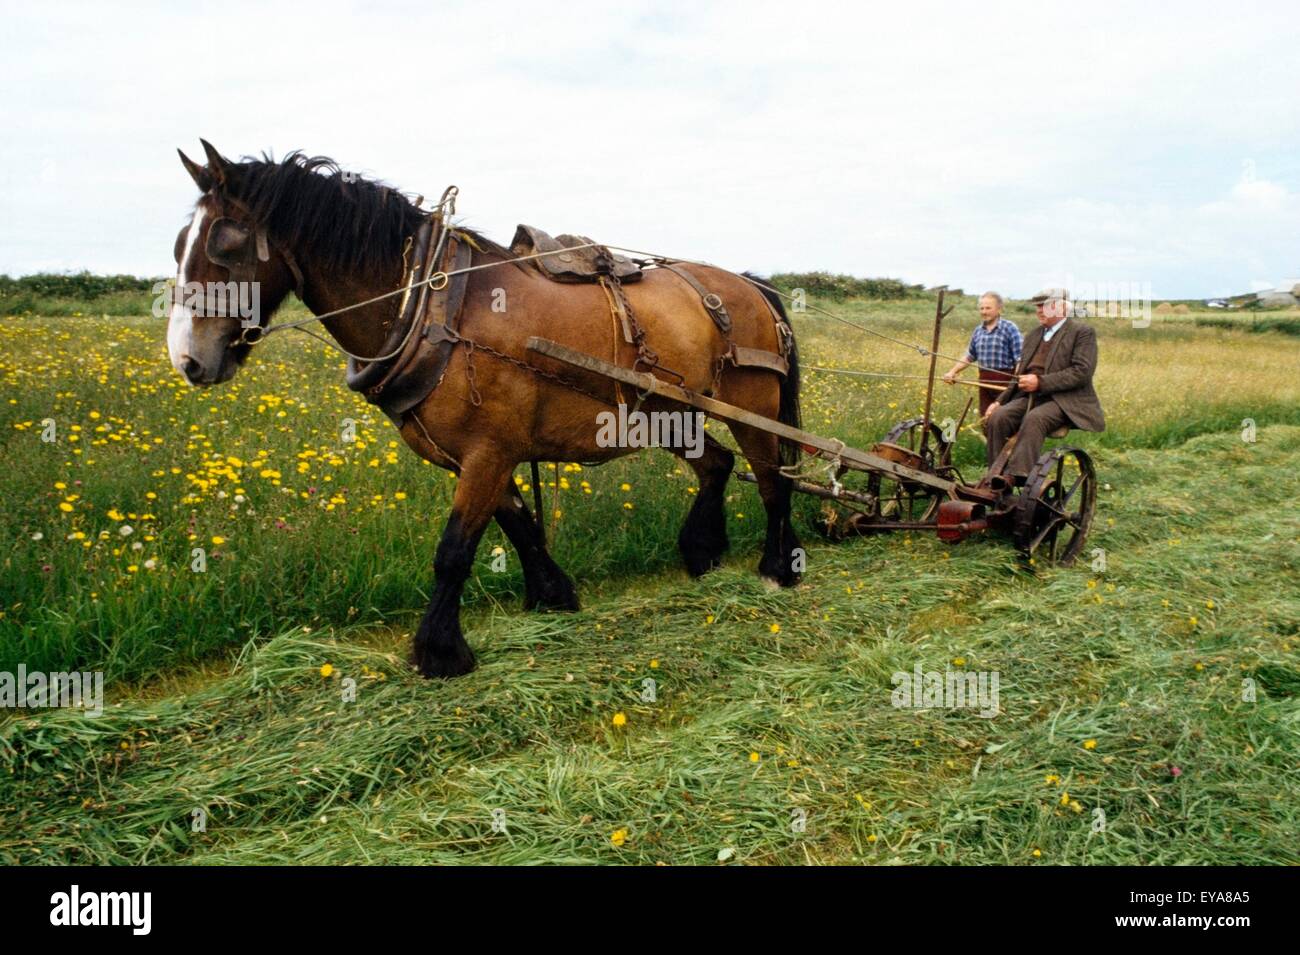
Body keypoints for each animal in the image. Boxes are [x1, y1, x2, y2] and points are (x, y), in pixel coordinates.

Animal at [170, 141, 800, 680]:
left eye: (225, 245)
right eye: (179, 246)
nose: (187, 359)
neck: (432, 308)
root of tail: (749, 284)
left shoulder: (489, 452)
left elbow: (454, 551)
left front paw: (440, 651)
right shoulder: (477, 454)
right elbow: (519, 528)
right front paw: (552, 597)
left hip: (749, 404)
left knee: (773, 480)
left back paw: (776, 568)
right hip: (668, 413)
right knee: (717, 466)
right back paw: (703, 553)